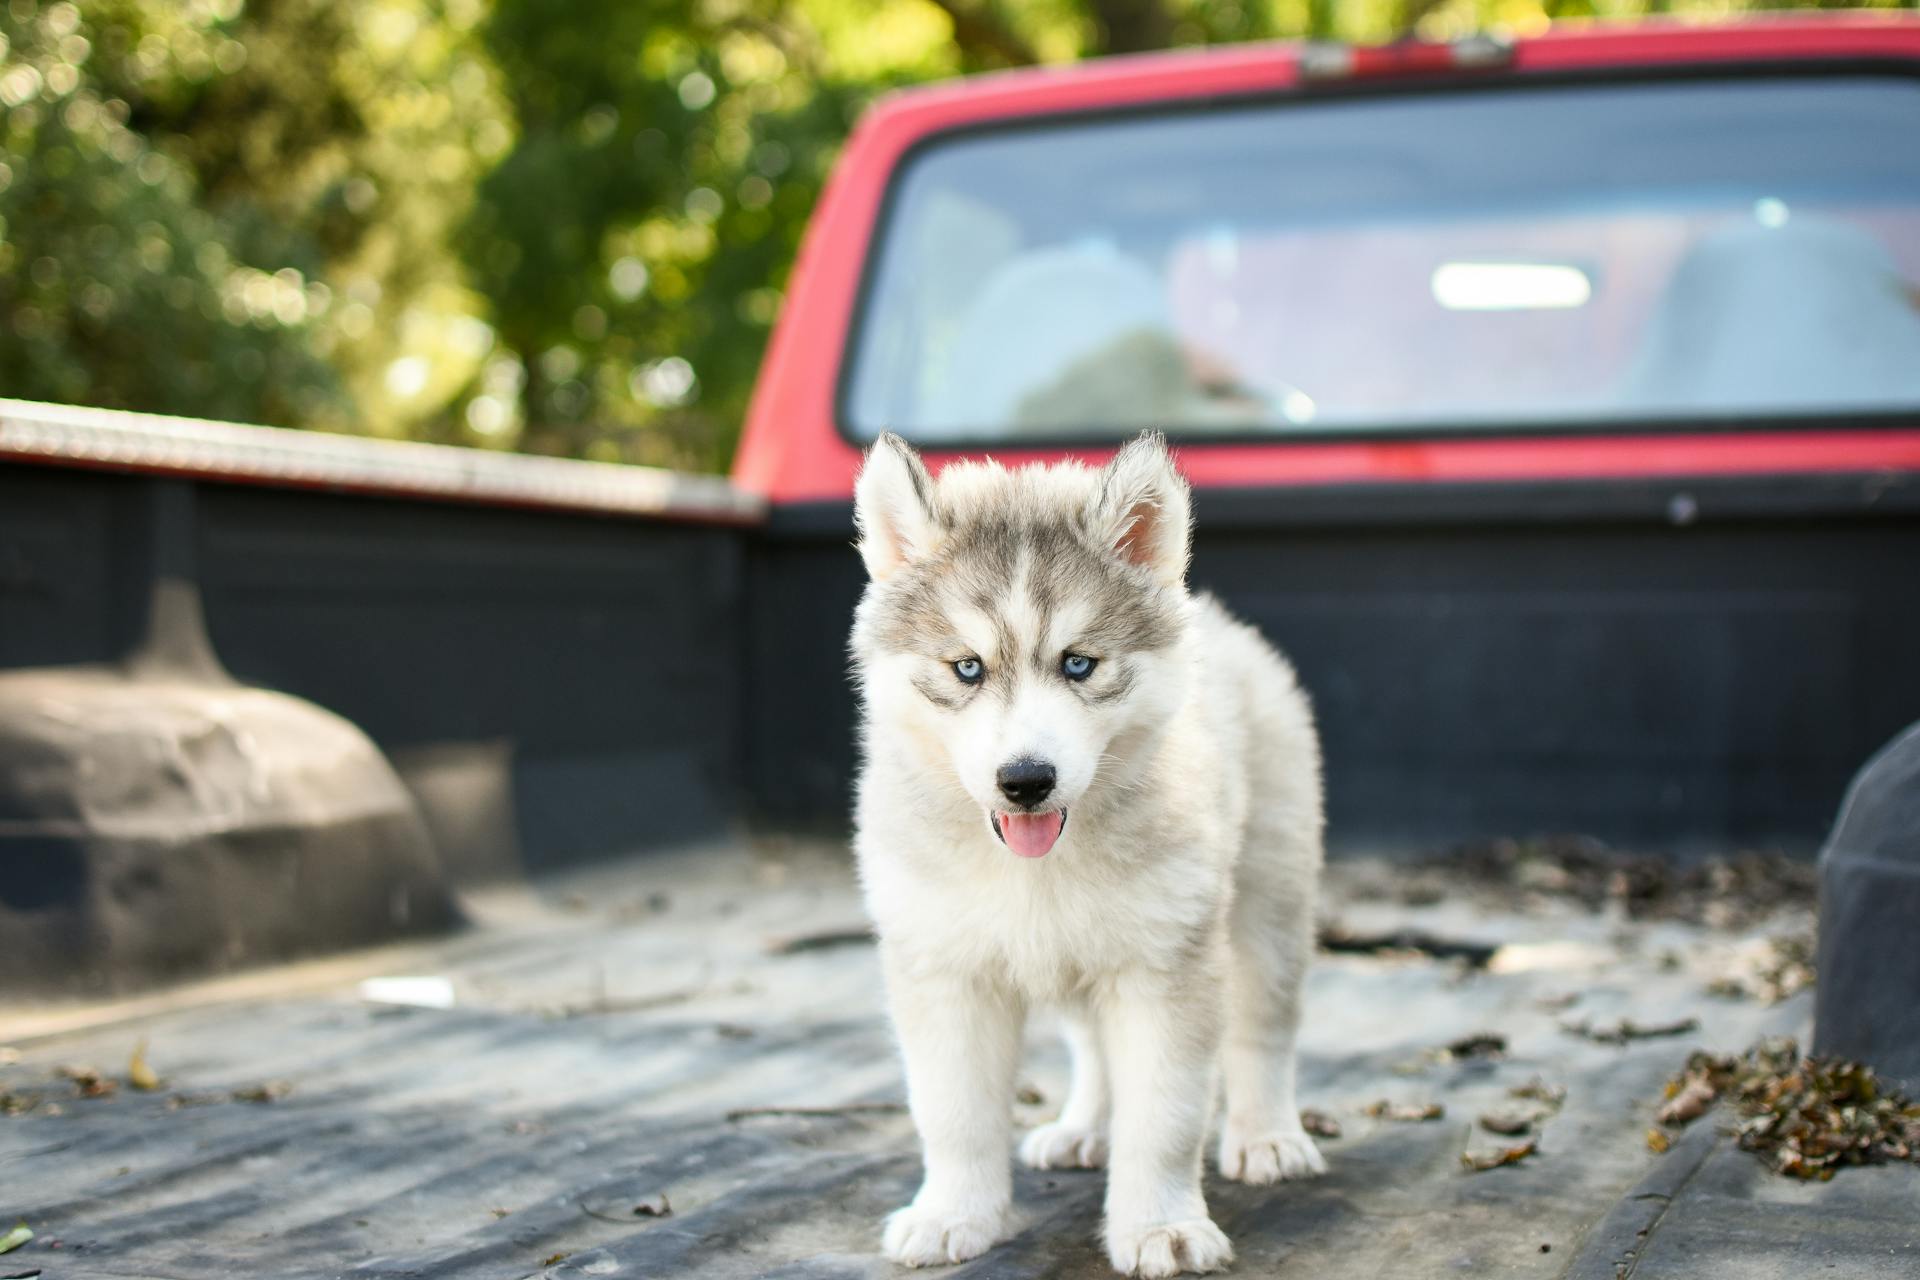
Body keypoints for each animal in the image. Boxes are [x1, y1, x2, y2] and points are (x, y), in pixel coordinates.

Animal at [848, 433, 1328, 1280]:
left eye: (1079, 664)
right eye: (966, 667)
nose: (1025, 780)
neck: (1034, 868)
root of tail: (1219, 621)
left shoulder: (1165, 967)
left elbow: (1164, 1117)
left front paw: (1160, 1225)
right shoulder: (944, 970)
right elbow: (953, 1112)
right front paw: (953, 1214)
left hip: (1268, 900)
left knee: (1264, 1027)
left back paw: (1268, 1136)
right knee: (1096, 1051)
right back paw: (1086, 1129)